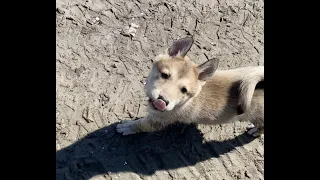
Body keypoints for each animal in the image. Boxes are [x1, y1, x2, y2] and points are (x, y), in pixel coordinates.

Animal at [116, 37, 264, 137]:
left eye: (184, 90)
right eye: (164, 75)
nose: (162, 102)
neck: (184, 102)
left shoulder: (157, 121)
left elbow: (140, 124)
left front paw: (127, 127)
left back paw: (255, 131)